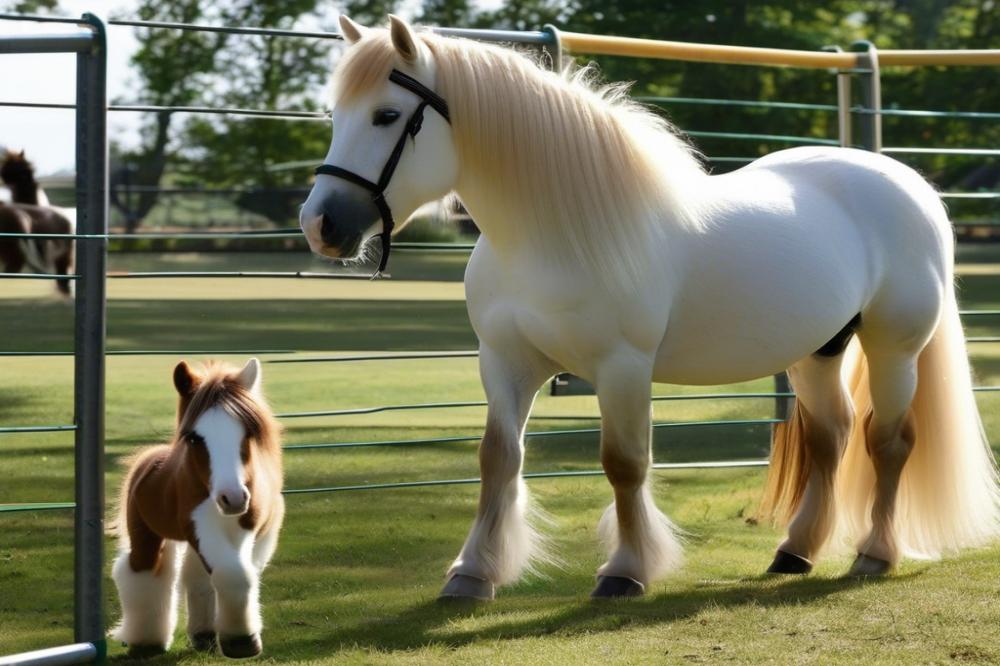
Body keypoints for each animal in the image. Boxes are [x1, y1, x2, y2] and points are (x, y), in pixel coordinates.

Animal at [111, 358, 284, 652]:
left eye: (248, 432)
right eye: (194, 437)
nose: (233, 498)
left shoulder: (247, 528)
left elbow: (239, 573)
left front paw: (239, 636)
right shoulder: (198, 524)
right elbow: (232, 573)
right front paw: (242, 640)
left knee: (196, 576)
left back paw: (203, 633)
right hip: (145, 536)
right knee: (142, 571)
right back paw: (146, 640)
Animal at [298, 14, 1000, 596]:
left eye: (388, 116)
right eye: (336, 114)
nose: (321, 225)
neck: (553, 235)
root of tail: (908, 183)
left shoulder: (622, 368)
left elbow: (625, 464)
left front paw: (626, 571)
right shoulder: (504, 363)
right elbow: (497, 459)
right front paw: (472, 573)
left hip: (893, 346)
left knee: (888, 441)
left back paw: (874, 555)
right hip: (816, 351)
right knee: (832, 436)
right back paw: (794, 551)